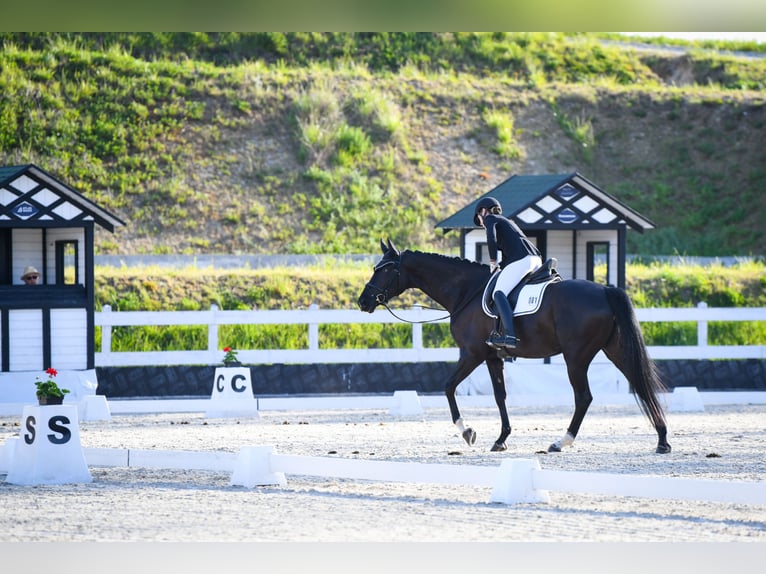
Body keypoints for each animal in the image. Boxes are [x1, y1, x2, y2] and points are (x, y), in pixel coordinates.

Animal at [360, 238, 672, 454]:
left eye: (385, 269)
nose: (363, 301)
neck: (466, 291)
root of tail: (606, 290)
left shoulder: (472, 354)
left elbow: (448, 387)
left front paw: (467, 431)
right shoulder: (492, 357)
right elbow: (500, 396)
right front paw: (501, 439)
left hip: (576, 357)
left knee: (584, 397)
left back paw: (561, 442)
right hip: (615, 349)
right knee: (641, 384)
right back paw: (662, 440)